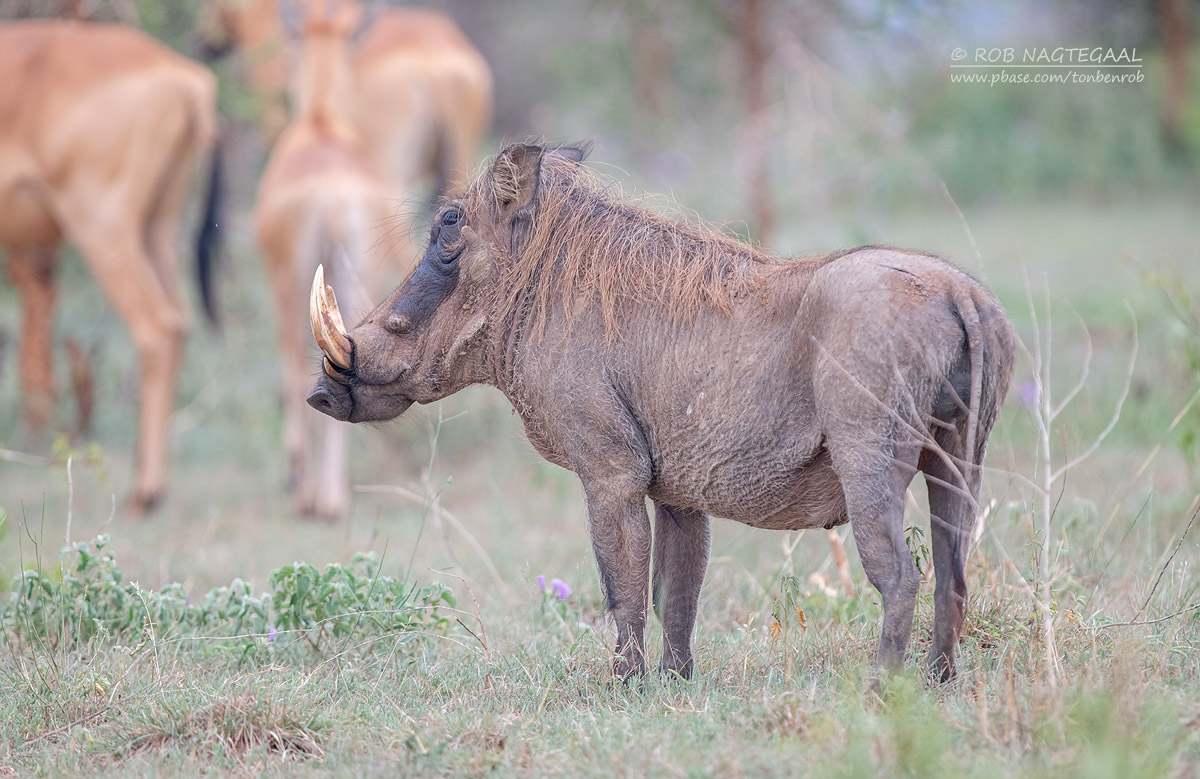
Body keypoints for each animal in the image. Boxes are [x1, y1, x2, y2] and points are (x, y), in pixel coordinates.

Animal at [0, 18, 220, 513]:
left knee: (155, 326)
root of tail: (180, 77)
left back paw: (144, 493)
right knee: (178, 323)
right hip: (156, 229)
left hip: (100, 226)